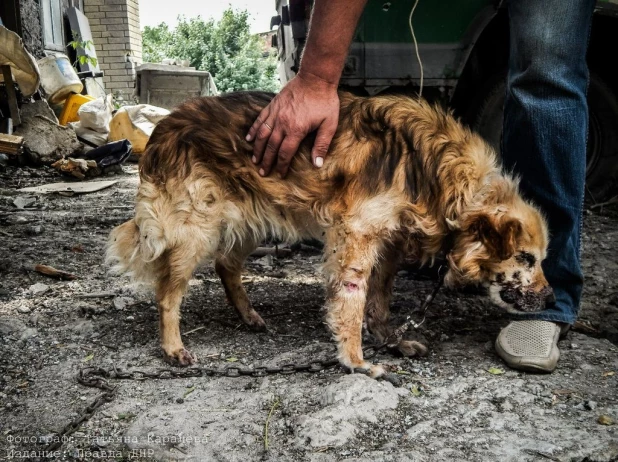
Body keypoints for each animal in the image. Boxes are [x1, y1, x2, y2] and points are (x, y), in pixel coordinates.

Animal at [107, 91, 552, 378]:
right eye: (526, 258)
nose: (550, 299)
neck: (443, 178)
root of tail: (163, 127)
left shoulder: (388, 244)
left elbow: (379, 302)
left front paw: (392, 341)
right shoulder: (355, 235)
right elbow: (351, 305)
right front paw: (357, 361)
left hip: (251, 218)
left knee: (226, 265)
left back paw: (249, 316)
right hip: (195, 229)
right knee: (168, 294)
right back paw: (173, 347)